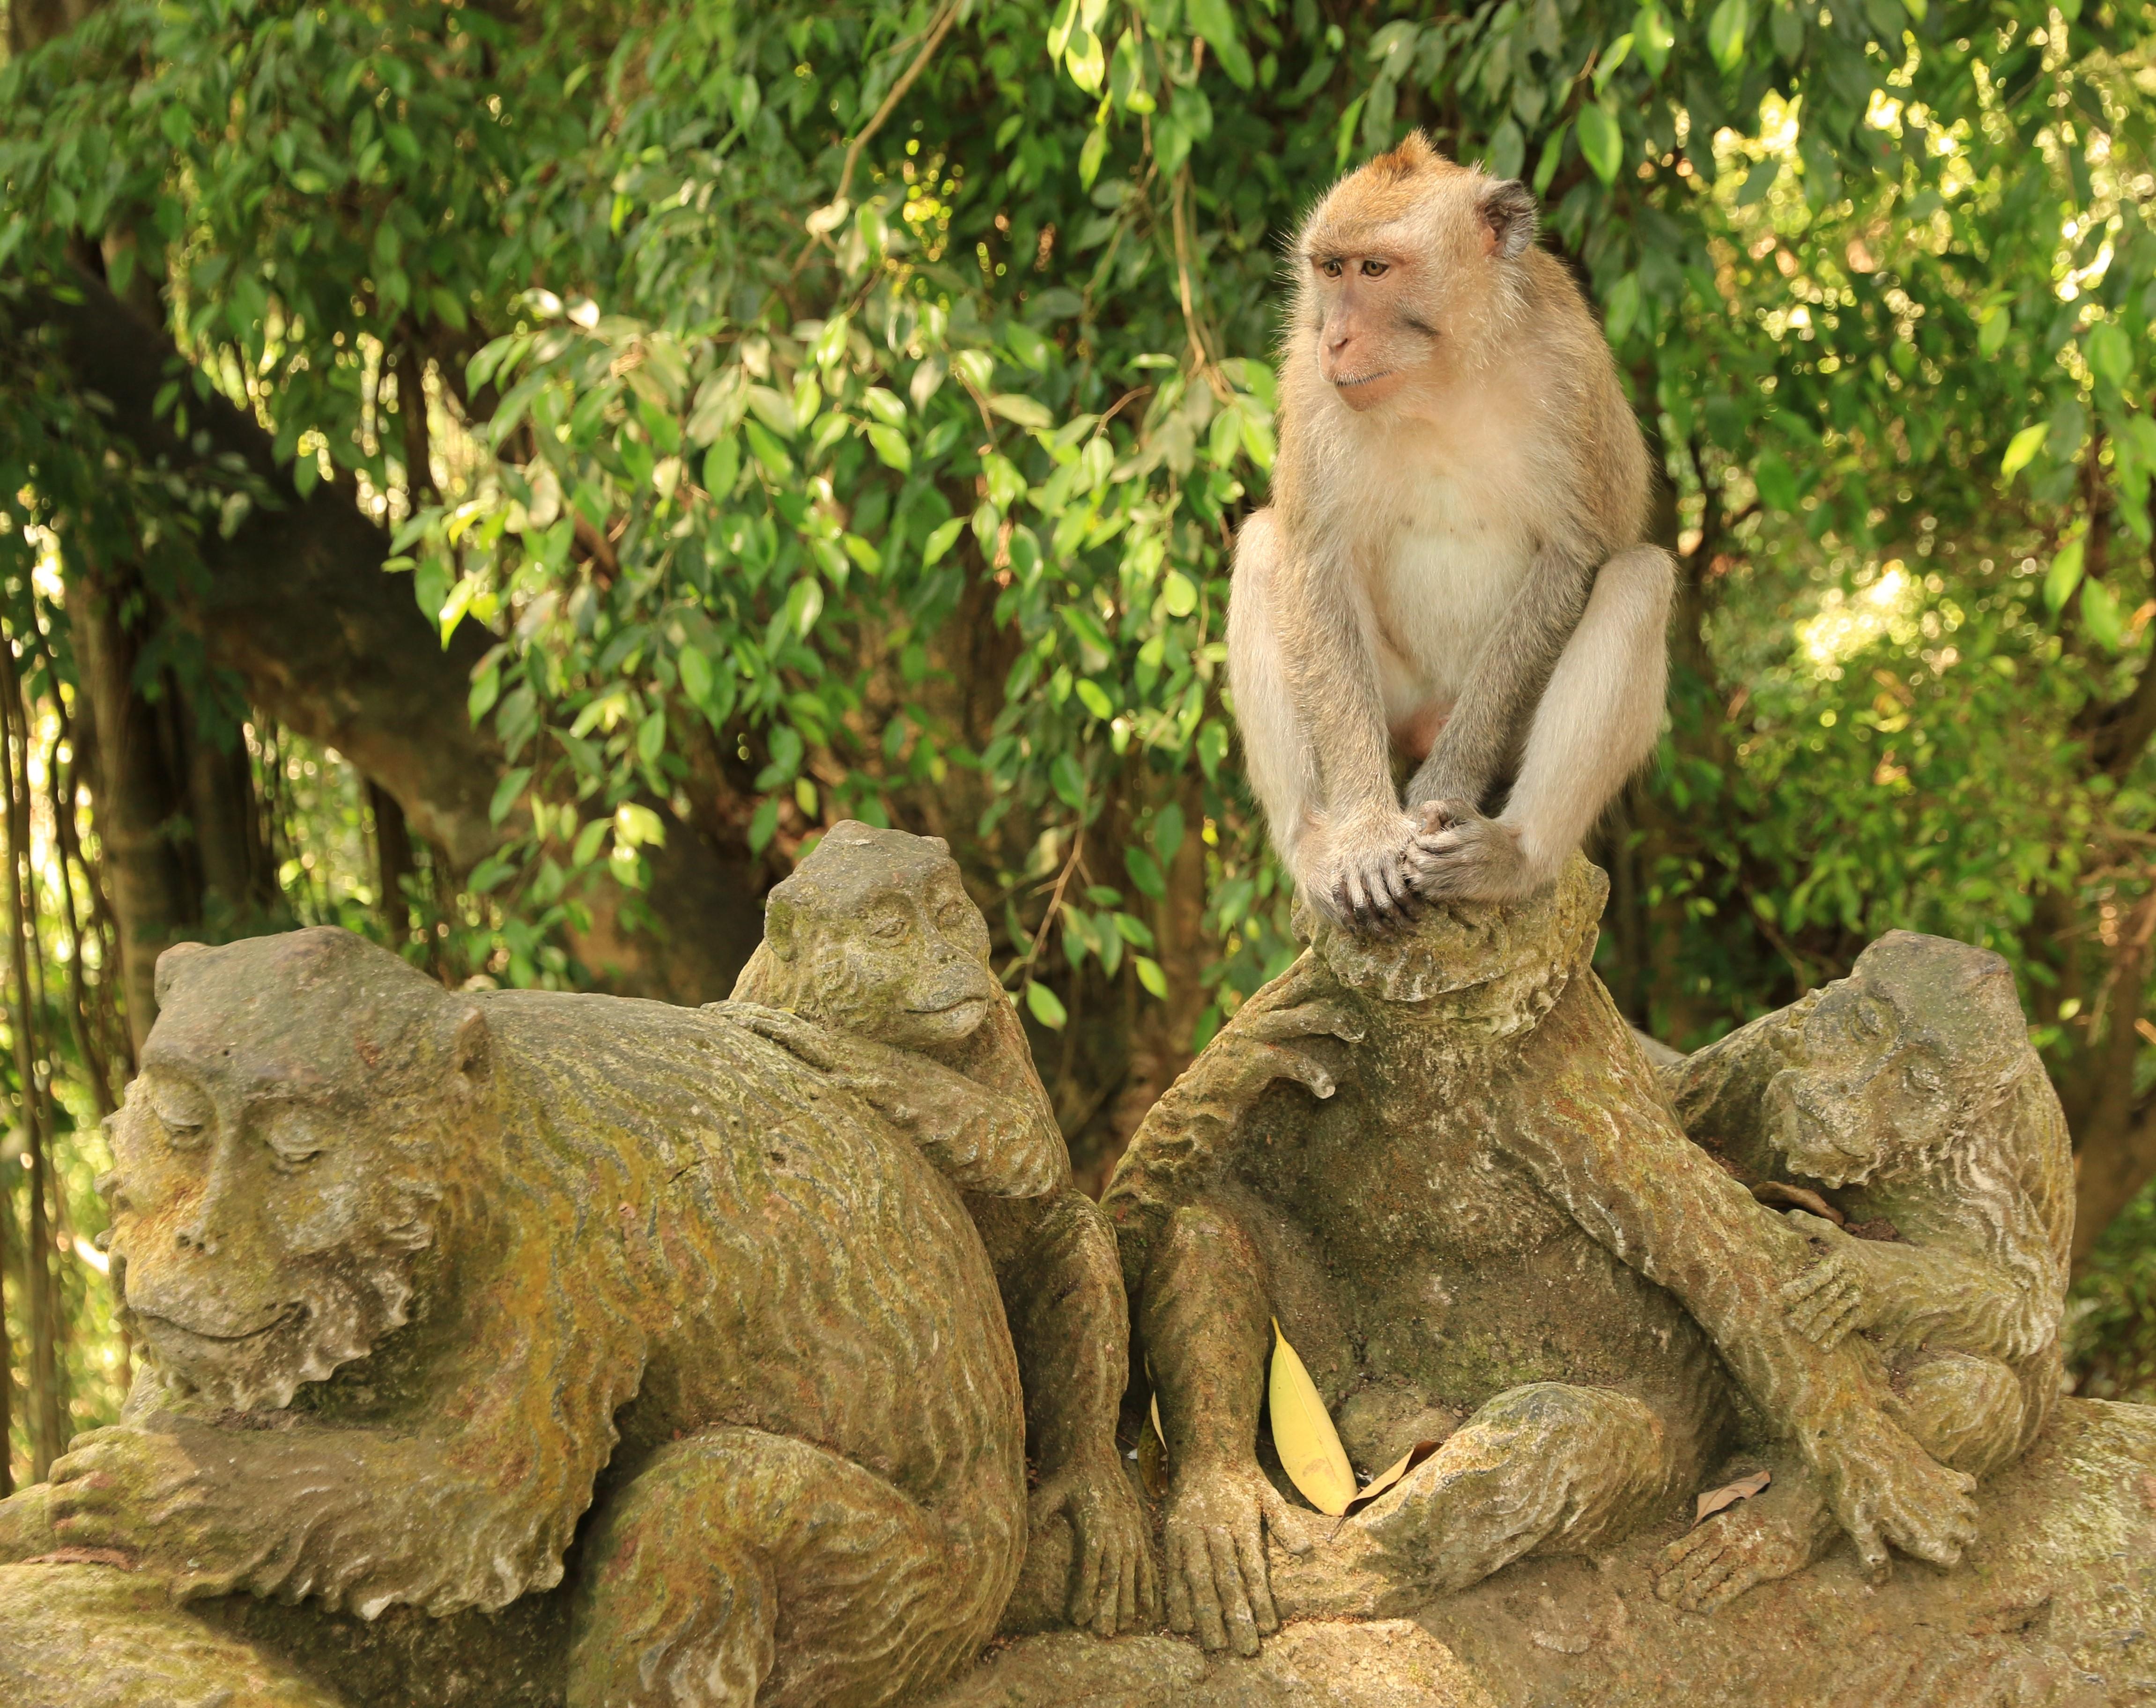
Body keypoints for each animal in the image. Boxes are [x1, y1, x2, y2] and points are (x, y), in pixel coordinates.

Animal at [1227, 131, 1675, 930]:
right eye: (1330, 269)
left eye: (1374, 268)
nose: (1335, 337)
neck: (1436, 379)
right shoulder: (1309, 388)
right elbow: (1313, 557)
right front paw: (1367, 837)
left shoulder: (1569, 370)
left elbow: (1575, 553)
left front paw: (1444, 789)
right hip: (1396, 702)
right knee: (1261, 550)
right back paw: (1313, 846)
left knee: (1638, 577)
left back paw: (1513, 854)